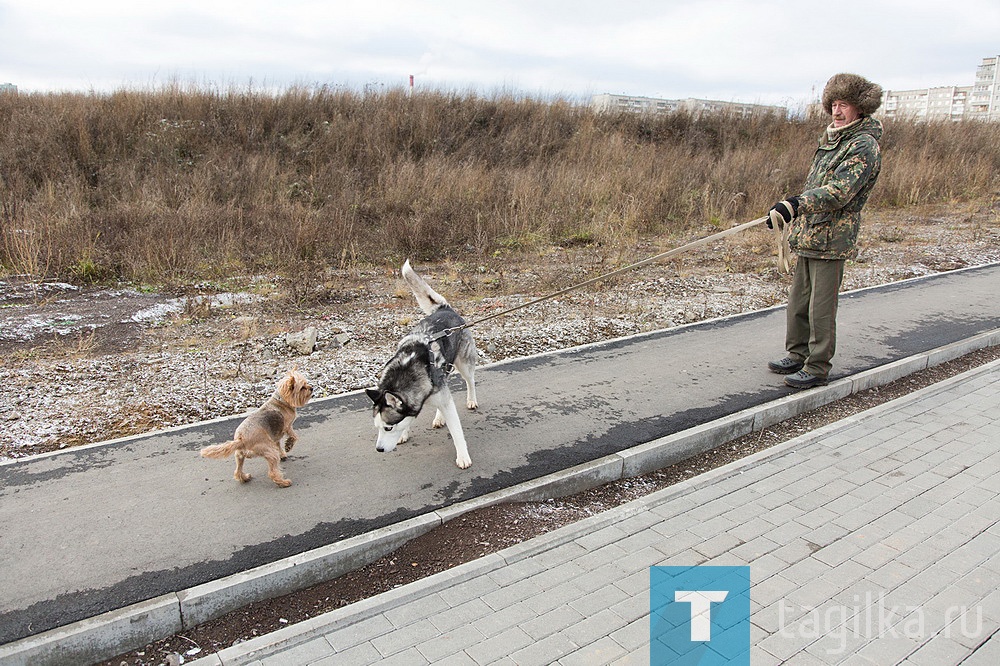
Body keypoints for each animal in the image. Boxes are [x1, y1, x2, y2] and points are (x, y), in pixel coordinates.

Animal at [368, 260, 480, 466]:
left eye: (388, 428)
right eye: (377, 427)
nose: (379, 449)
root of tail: (445, 308)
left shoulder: (444, 401)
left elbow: (457, 433)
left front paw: (462, 456)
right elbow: (410, 417)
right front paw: (404, 432)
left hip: (464, 365)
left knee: (470, 381)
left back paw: (471, 400)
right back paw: (439, 417)